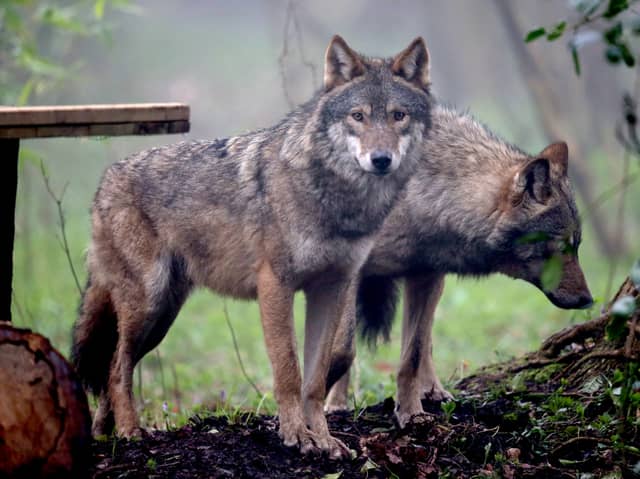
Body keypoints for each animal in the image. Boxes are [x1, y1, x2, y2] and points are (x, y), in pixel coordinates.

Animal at [70, 35, 433, 458]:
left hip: (161, 318)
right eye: (358, 116)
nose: (381, 159)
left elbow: (315, 378)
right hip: (148, 305)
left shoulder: (331, 289)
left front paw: (324, 440)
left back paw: (104, 435)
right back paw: (130, 432)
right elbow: (289, 371)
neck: (336, 199)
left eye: (398, 116)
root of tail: (105, 182)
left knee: (111, 366)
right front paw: (296, 436)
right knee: (116, 368)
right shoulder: (275, 285)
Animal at [324, 104, 593, 428]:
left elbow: (412, 355)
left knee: (425, 340)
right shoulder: (348, 274)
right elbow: (341, 350)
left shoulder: (424, 275)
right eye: (563, 247)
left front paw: (412, 414)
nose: (588, 300)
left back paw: (434, 391)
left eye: (577, 246)